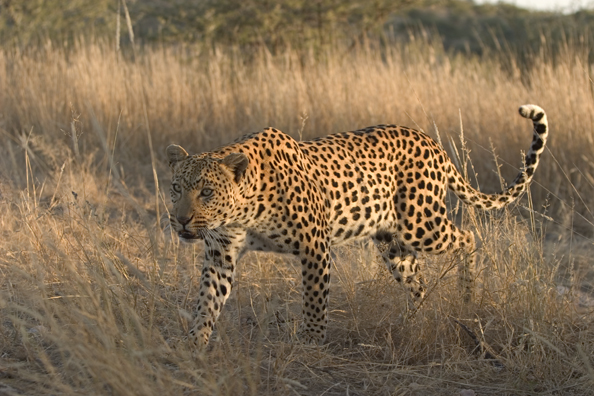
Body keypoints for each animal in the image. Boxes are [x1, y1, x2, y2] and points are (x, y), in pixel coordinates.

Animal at [165, 104, 544, 346]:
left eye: (207, 192)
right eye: (176, 188)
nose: (180, 220)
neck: (243, 210)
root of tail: (430, 140)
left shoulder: (314, 246)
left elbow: (314, 300)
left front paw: (310, 344)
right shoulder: (220, 254)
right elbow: (208, 299)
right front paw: (195, 341)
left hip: (422, 223)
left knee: (468, 237)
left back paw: (466, 296)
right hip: (393, 244)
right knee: (418, 281)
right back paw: (416, 320)